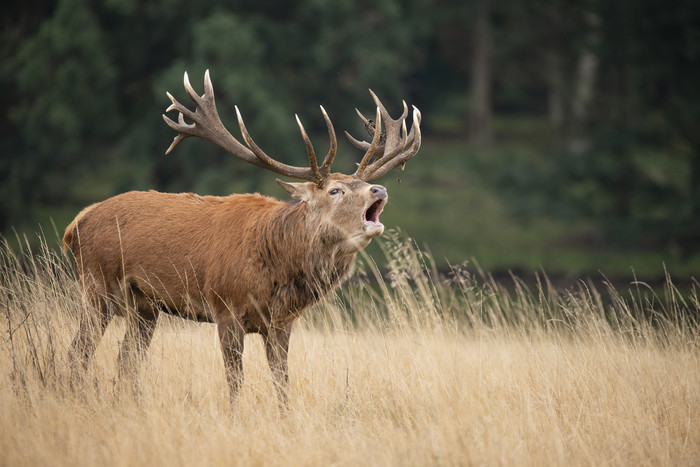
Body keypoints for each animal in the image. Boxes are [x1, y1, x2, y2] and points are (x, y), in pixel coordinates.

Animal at [64, 69, 422, 406]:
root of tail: (77, 223)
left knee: (126, 359)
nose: (379, 189)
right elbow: (235, 382)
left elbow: (282, 382)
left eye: (363, 184)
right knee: (78, 353)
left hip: (144, 307)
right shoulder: (225, 308)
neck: (275, 266)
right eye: (336, 190)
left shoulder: (281, 323)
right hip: (97, 287)